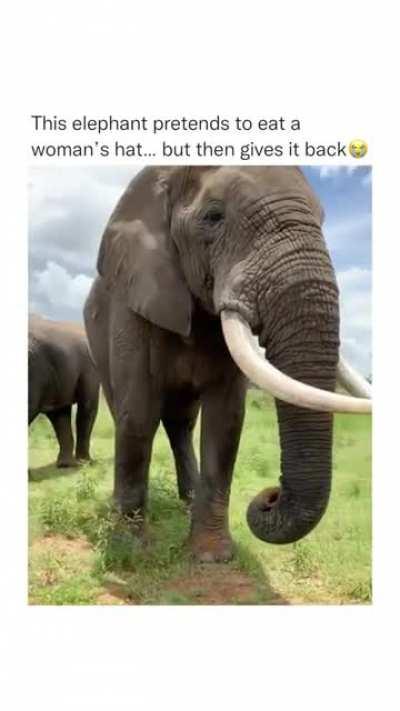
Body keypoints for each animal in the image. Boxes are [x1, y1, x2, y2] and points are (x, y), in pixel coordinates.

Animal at [84, 166, 371, 562]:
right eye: (213, 217)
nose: (269, 496)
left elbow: (226, 421)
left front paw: (210, 557)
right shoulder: (135, 299)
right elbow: (138, 413)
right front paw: (130, 552)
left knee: (182, 424)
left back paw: (188, 501)